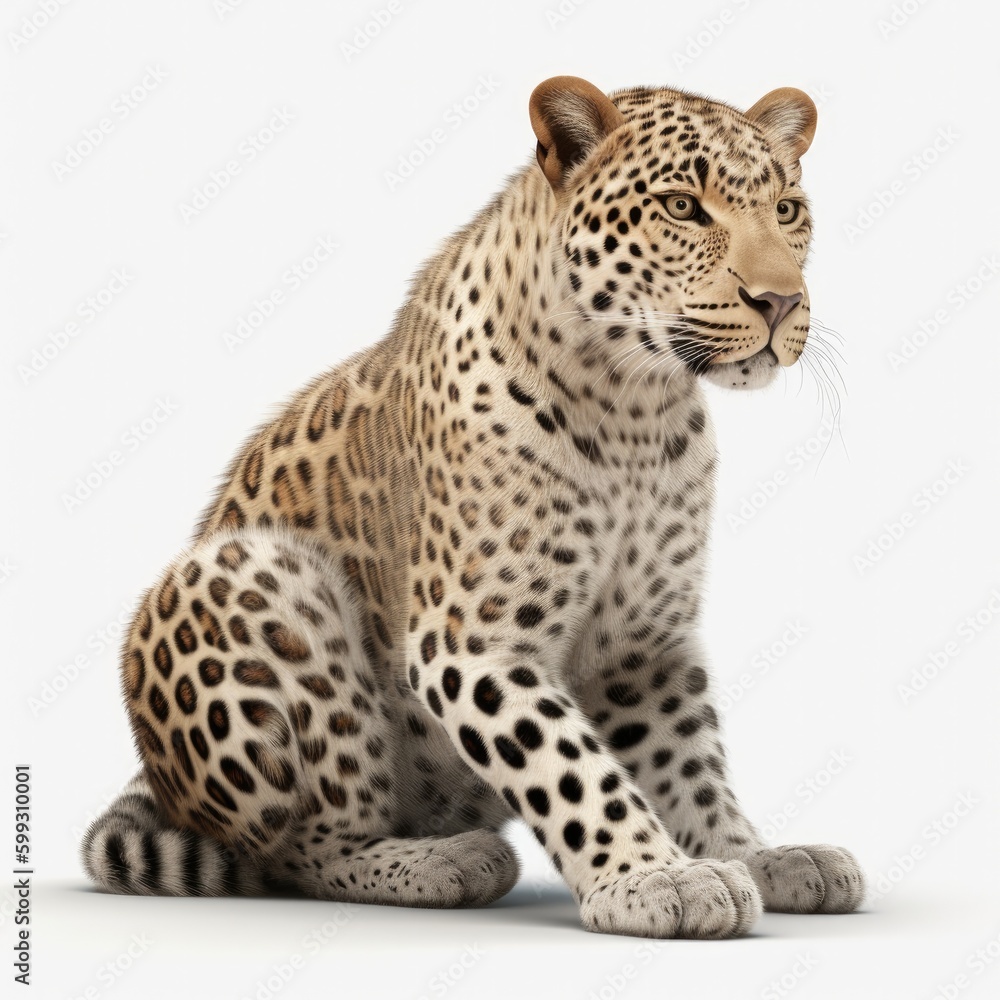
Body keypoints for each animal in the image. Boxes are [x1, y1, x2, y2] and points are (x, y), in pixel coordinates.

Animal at [82, 75, 865, 938]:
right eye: (682, 208)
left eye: (787, 210)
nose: (779, 302)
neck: (635, 408)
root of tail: (156, 777)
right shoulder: (473, 643)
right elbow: (572, 768)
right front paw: (653, 875)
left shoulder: (642, 648)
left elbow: (689, 765)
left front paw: (754, 855)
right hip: (252, 571)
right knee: (301, 848)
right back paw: (438, 862)